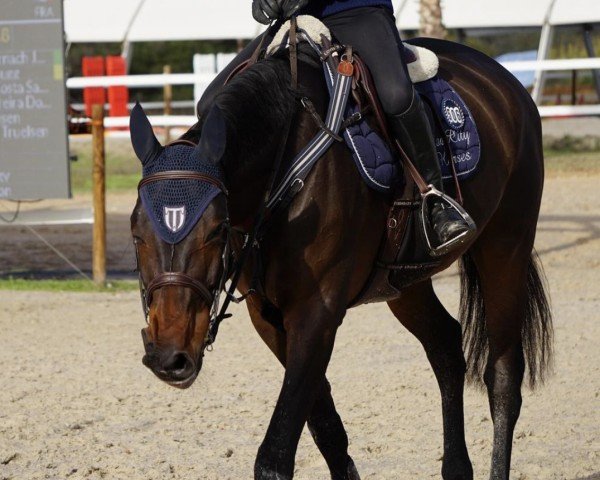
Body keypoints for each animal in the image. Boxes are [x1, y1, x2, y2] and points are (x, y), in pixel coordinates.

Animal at [131, 38, 552, 480]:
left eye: (215, 230)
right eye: (136, 233)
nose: (169, 357)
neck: (286, 163)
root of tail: (503, 82)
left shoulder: (318, 313)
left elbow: (275, 455)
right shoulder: (268, 318)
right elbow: (326, 429)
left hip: (505, 249)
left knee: (503, 377)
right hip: (405, 284)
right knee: (446, 348)